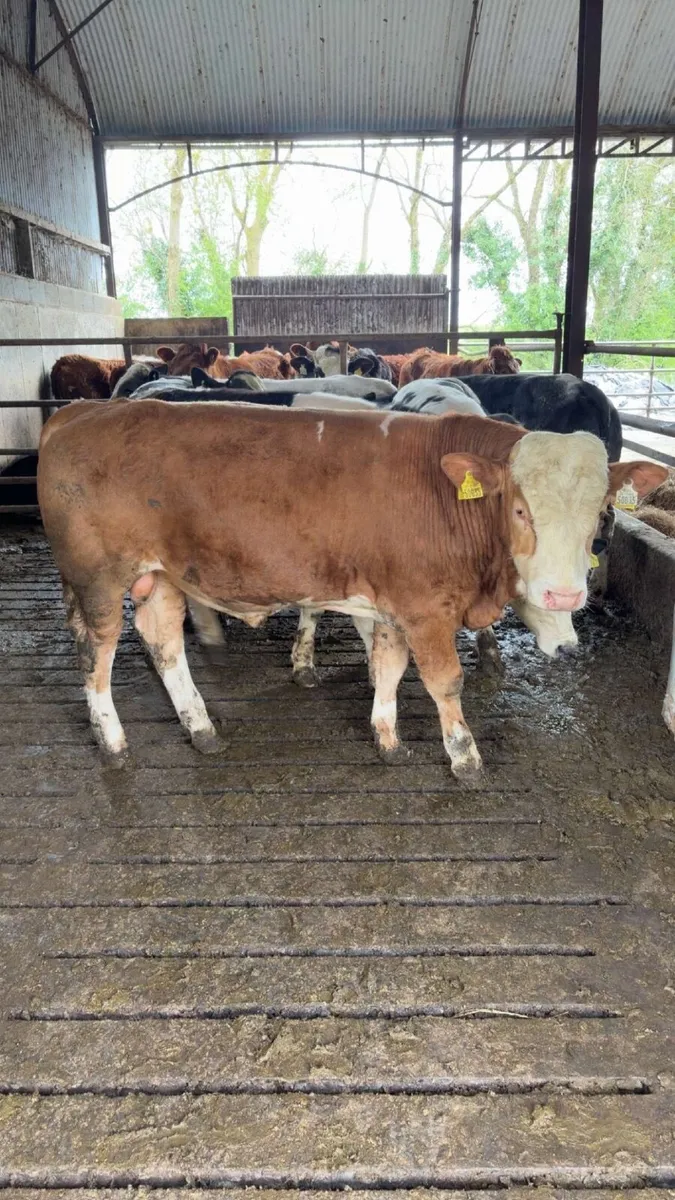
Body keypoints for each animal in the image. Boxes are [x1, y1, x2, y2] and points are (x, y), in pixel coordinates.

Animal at [37, 398, 666, 780]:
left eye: (600, 512)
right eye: (519, 509)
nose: (564, 598)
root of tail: (82, 411)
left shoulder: (390, 604)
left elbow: (387, 666)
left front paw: (386, 737)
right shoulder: (425, 607)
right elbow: (444, 680)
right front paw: (463, 756)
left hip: (161, 576)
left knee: (163, 642)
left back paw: (201, 728)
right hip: (98, 580)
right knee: (96, 653)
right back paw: (113, 742)